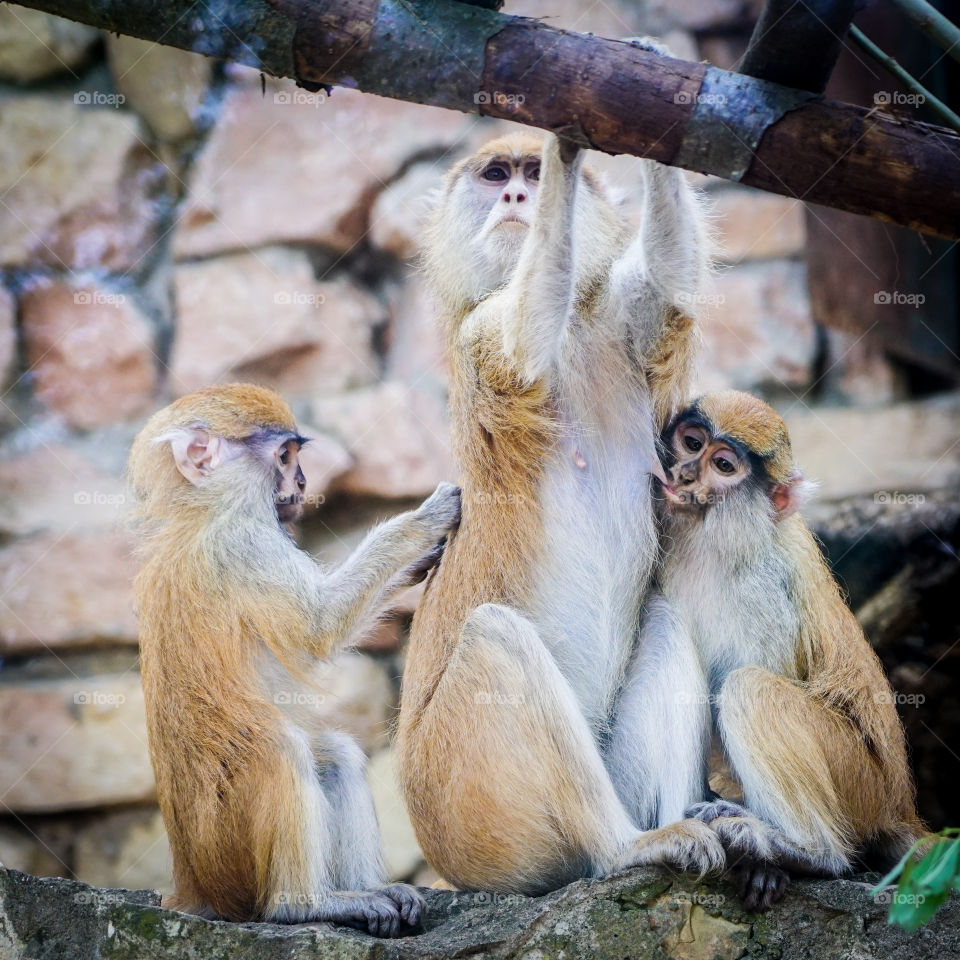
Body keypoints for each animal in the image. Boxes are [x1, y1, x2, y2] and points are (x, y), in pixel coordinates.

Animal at [127, 383, 461, 935]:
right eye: (284, 456)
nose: (302, 481)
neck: (204, 510)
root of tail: (196, 886)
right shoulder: (245, 543)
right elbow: (317, 627)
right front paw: (424, 521)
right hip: (231, 852)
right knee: (279, 747)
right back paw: (305, 905)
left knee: (335, 755)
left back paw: (367, 889)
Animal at [395, 49, 725, 896]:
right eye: (496, 174)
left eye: (522, 175)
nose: (520, 193)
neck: (578, 331)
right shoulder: (482, 338)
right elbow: (522, 334)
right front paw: (567, 140)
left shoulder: (616, 322)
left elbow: (666, 286)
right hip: (475, 811)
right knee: (496, 640)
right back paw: (625, 847)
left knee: (666, 614)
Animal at [648, 389, 926, 909]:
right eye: (692, 442)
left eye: (723, 465)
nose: (686, 474)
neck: (714, 538)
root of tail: (896, 803)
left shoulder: (766, 591)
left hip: (857, 778)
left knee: (751, 688)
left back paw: (804, 851)